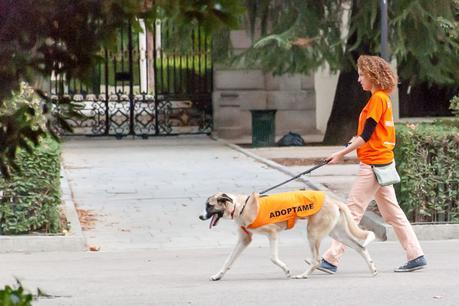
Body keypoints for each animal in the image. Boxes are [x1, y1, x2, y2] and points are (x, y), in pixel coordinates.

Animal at [199, 190, 378, 280]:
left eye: (209, 206)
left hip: (313, 234)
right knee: (360, 247)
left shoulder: (272, 234)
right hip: (337, 234)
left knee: (316, 259)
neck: (241, 206)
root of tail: (334, 201)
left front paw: (286, 270)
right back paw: (373, 269)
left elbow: (273, 258)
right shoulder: (244, 240)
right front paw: (218, 275)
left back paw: (303, 275)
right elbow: (228, 260)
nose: (200, 217)